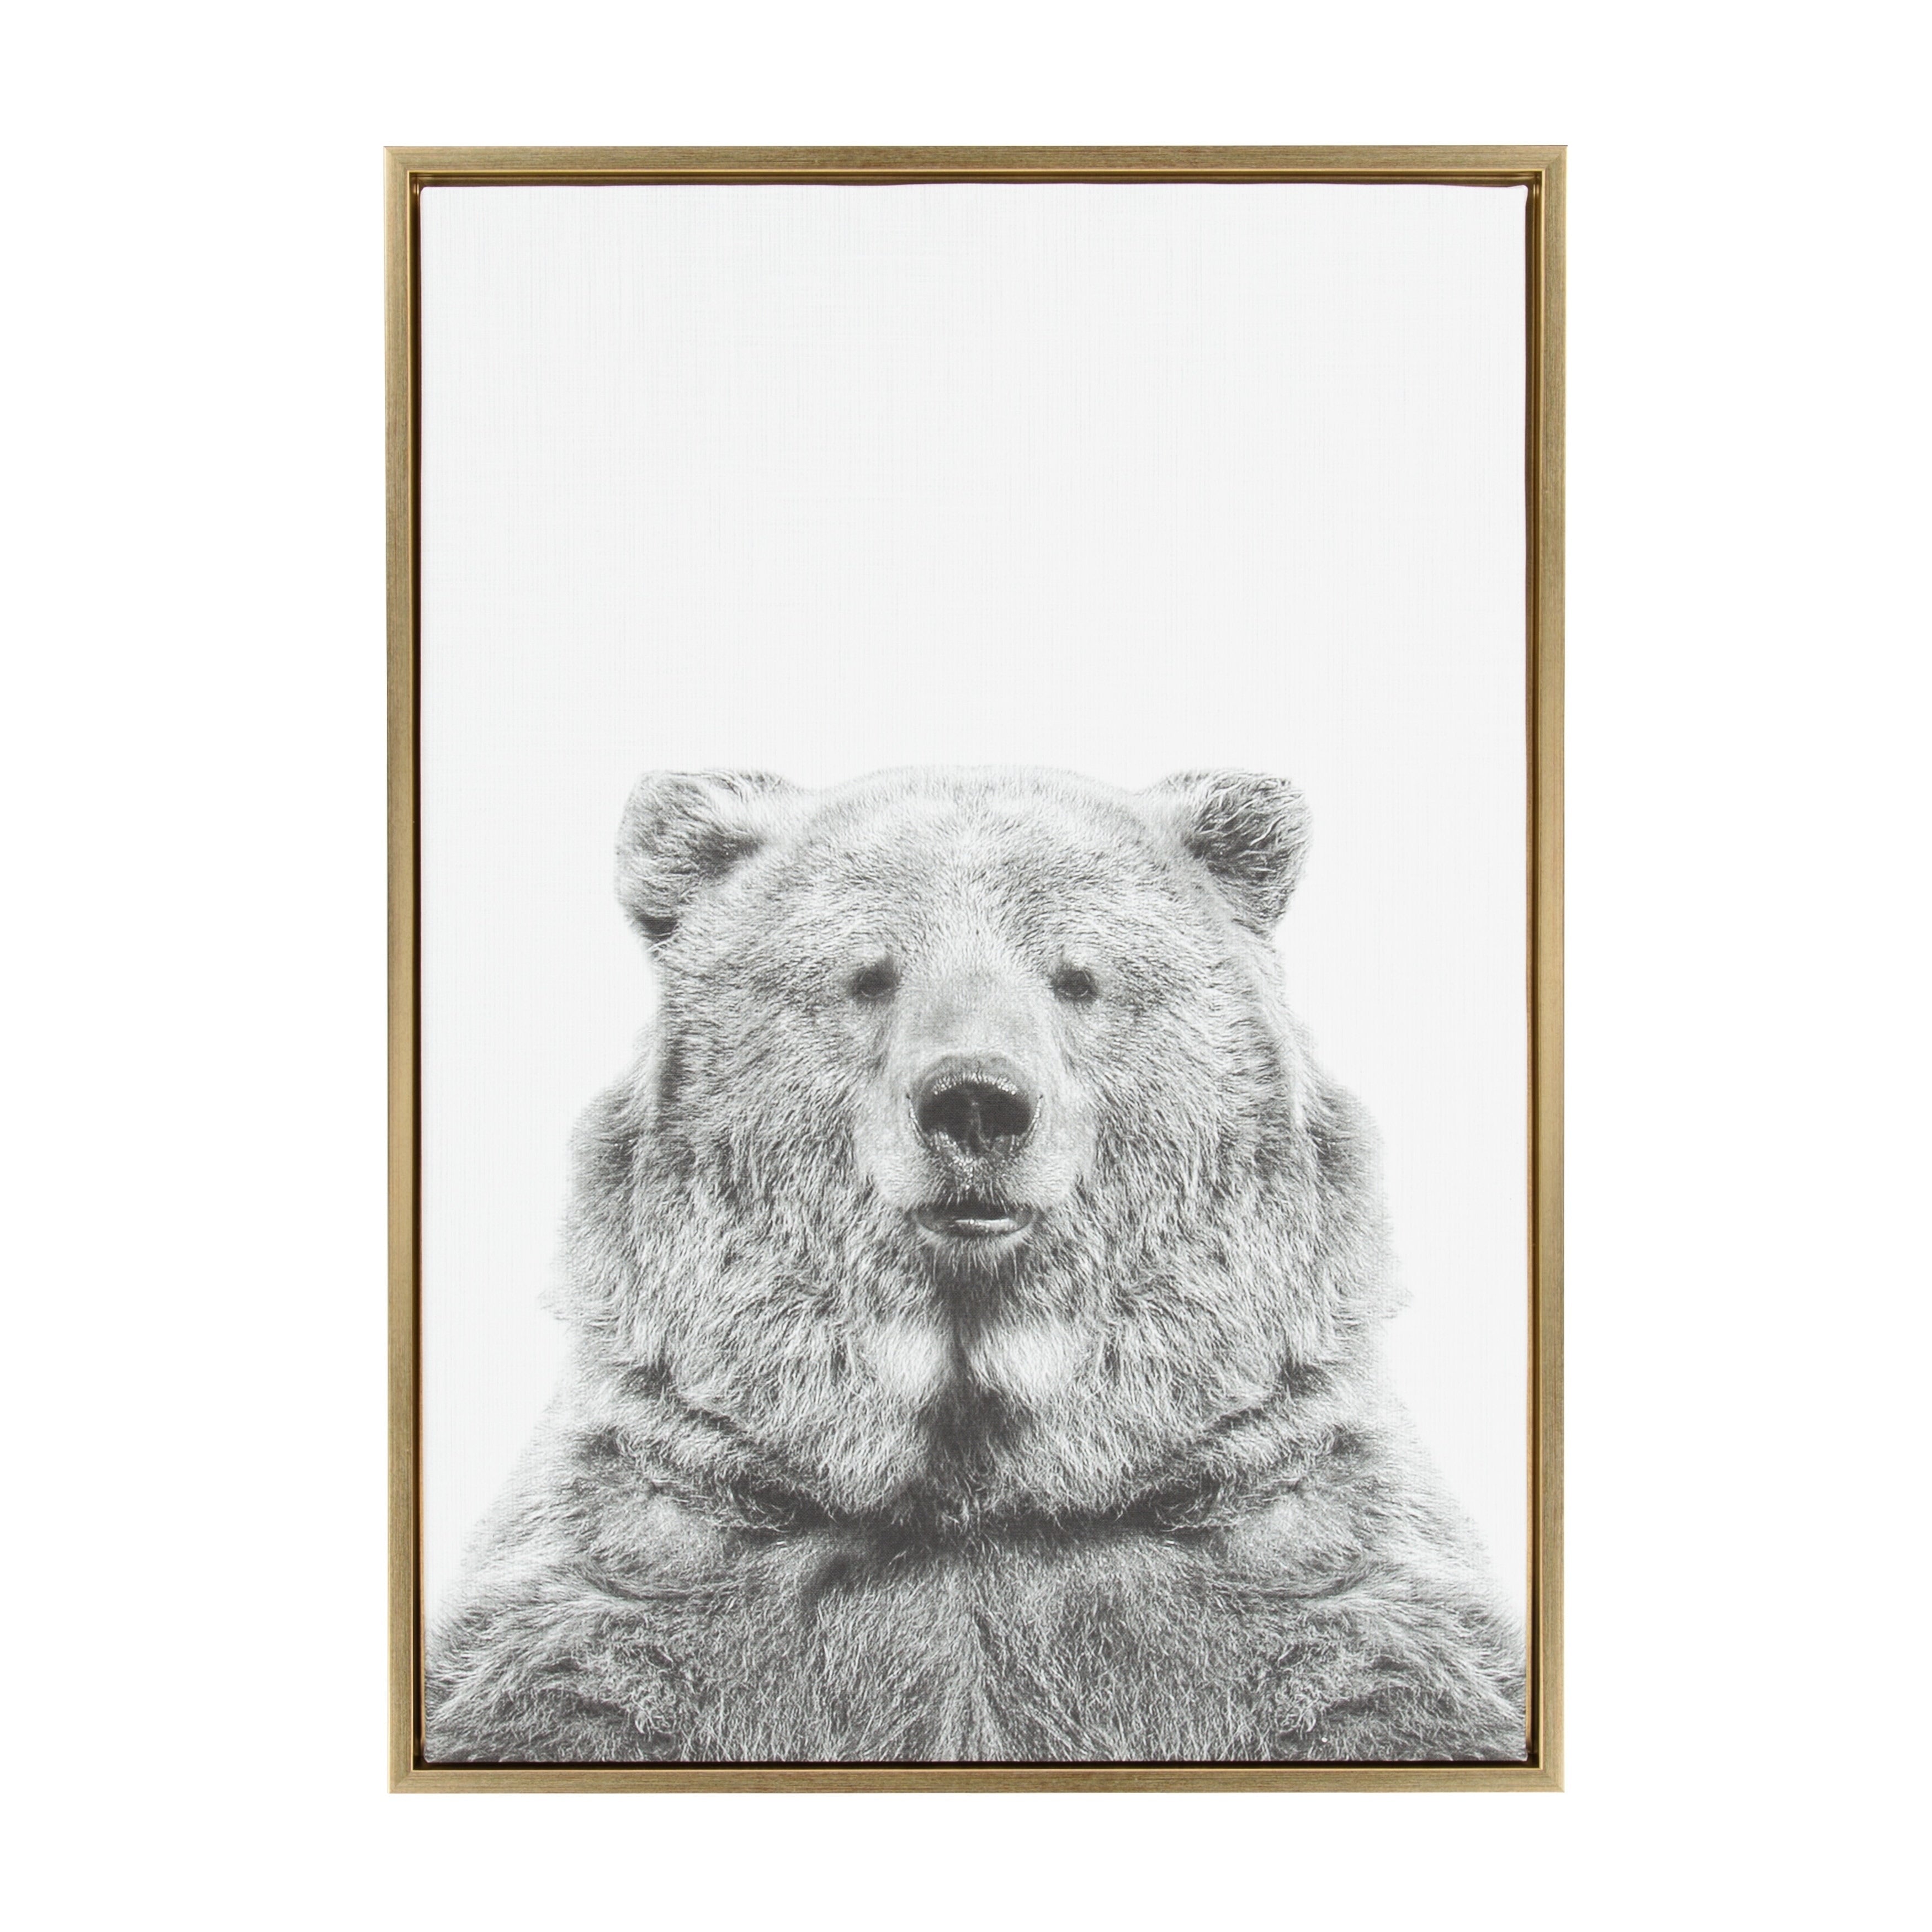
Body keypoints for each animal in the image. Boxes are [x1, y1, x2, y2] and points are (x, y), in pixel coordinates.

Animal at [425, 765, 1525, 1764]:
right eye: (869, 974)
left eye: (1077, 977)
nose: (977, 1104)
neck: (976, 1486)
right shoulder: (646, 1565)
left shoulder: (1298, 1557)